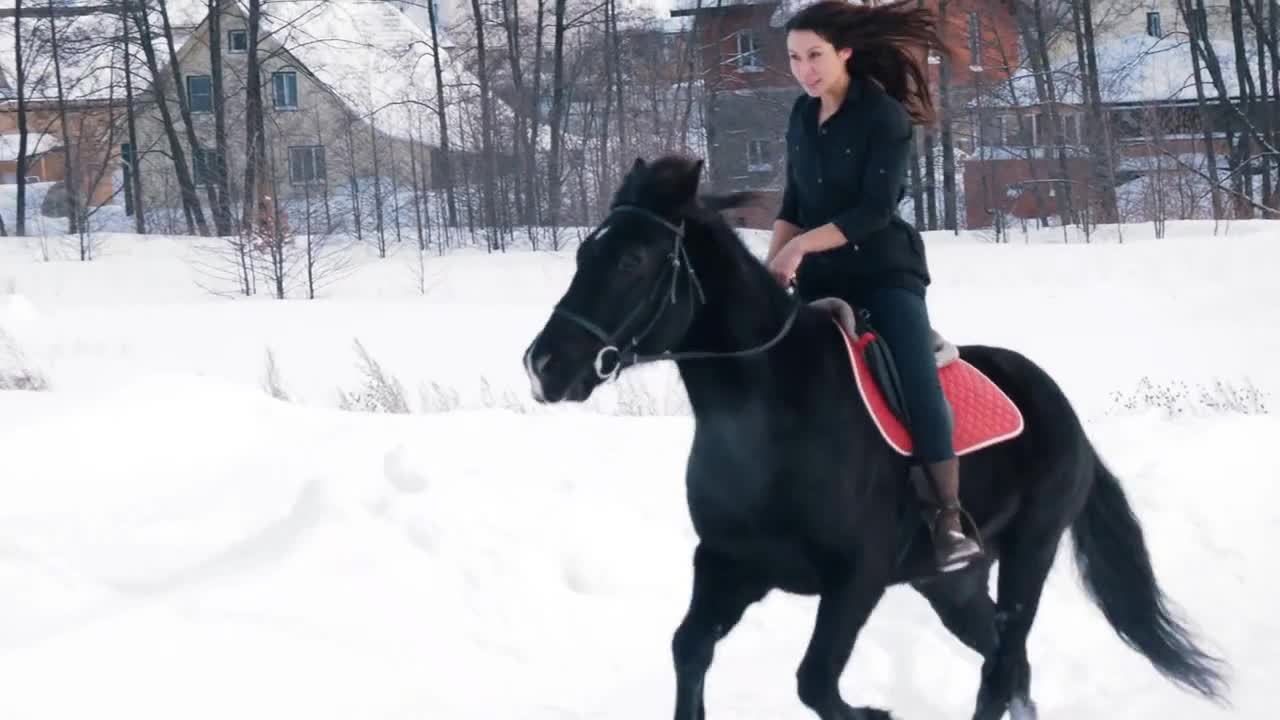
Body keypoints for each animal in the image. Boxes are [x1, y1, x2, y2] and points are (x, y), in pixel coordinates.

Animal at [522, 154, 1228, 712]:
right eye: (585, 253)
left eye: (633, 258)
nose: (542, 364)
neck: (770, 416)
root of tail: (1063, 410)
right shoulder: (728, 565)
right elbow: (689, 650)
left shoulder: (855, 579)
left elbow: (814, 682)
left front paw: (875, 712)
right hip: (950, 582)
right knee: (1007, 664)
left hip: (1030, 552)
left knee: (1004, 668)